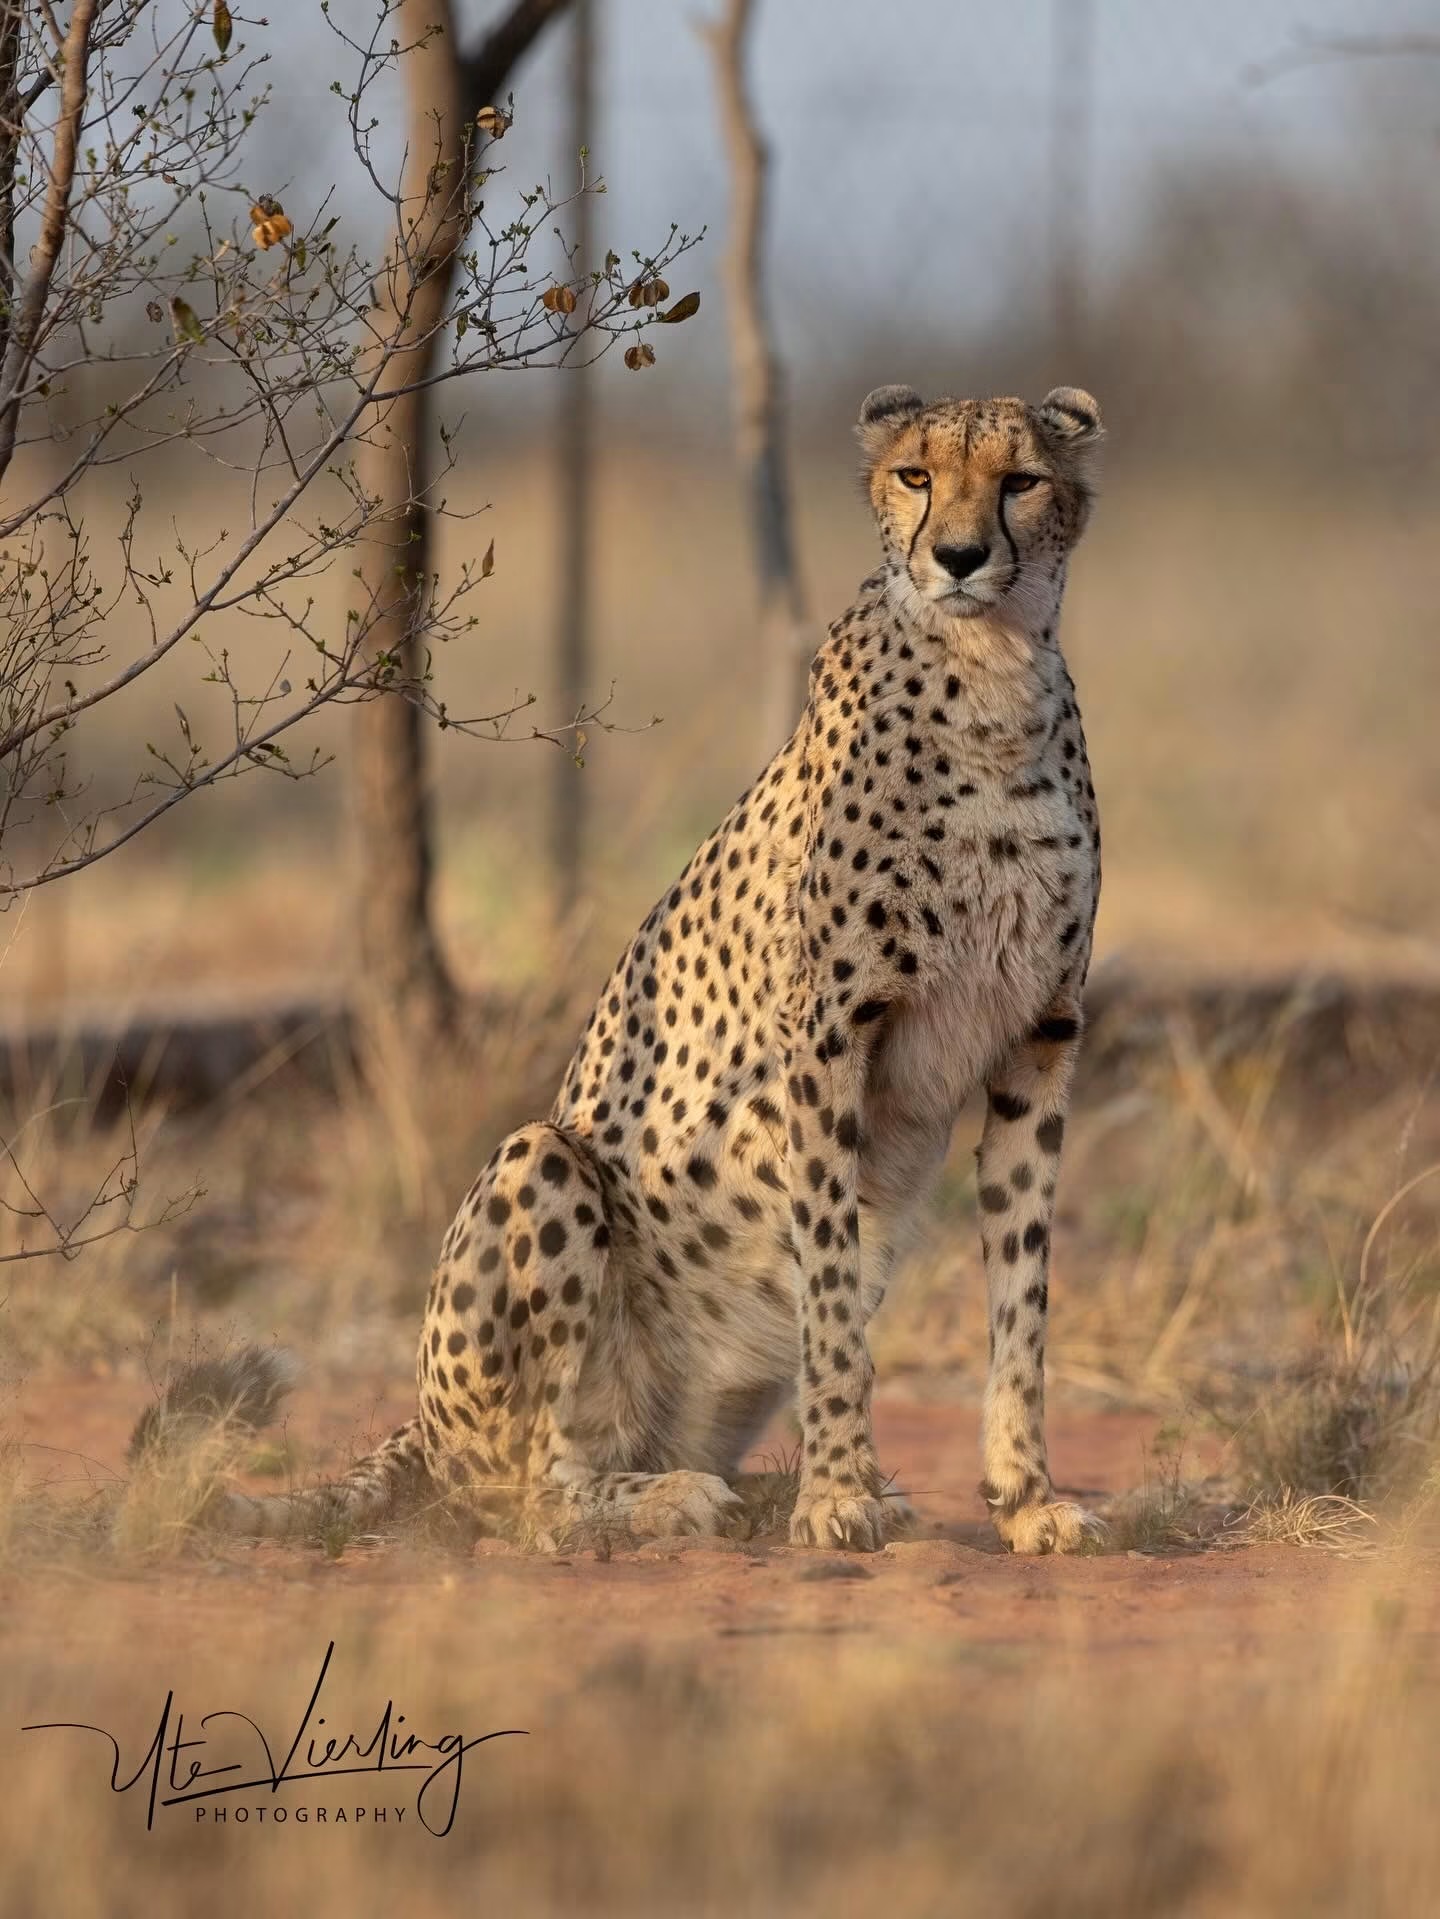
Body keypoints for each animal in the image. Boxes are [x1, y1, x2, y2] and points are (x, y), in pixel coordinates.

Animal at [184, 383, 1106, 1555]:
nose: (957, 554)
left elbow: (1021, 1294)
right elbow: (832, 1295)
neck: (992, 675)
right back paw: (673, 1498)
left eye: (1021, 479)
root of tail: (421, 1426)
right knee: (529, 1493)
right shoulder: (826, 1037)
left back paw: (749, 1486)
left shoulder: (1040, 1036)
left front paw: (1026, 1497)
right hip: (541, 1162)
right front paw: (838, 1493)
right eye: (916, 475)